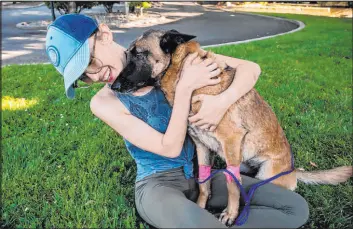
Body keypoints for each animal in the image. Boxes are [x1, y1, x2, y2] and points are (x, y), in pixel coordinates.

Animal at [111, 29, 352, 226]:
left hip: (264, 173)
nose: (113, 86)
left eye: (139, 54)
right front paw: (201, 206)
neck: (186, 79)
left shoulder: (231, 141)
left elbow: (232, 185)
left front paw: (230, 214)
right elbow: (204, 182)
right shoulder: (201, 146)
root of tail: (293, 170)